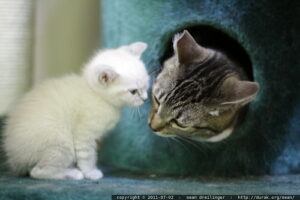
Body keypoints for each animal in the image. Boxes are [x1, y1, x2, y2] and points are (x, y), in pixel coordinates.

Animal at [2, 41, 149, 180]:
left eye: (146, 84)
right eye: (133, 91)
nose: (145, 99)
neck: (97, 95)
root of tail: (14, 158)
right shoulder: (83, 133)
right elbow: (87, 155)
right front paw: (90, 172)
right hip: (61, 142)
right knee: (37, 171)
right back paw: (72, 174)